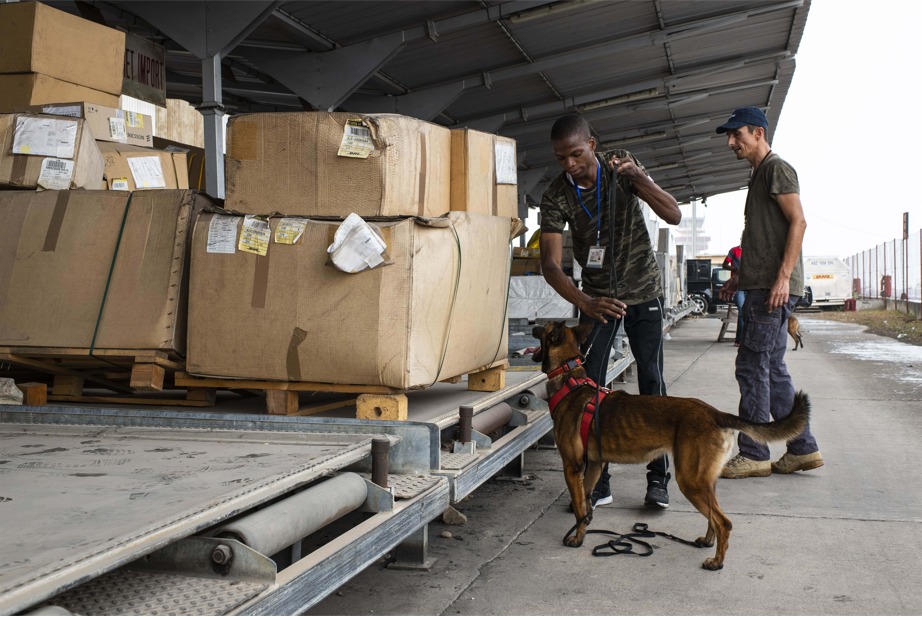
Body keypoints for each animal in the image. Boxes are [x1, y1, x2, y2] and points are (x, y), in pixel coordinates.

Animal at [528, 322, 808, 568]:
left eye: (545, 327)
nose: (532, 325)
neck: (568, 376)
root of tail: (714, 413)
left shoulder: (572, 467)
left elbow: (578, 506)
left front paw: (576, 538)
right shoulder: (595, 465)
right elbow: (585, 503)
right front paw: (583, 530)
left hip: (690, 480)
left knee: (723, 522)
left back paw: (716, 562)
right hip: (703, 480)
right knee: (713, 516)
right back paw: (707, 541)